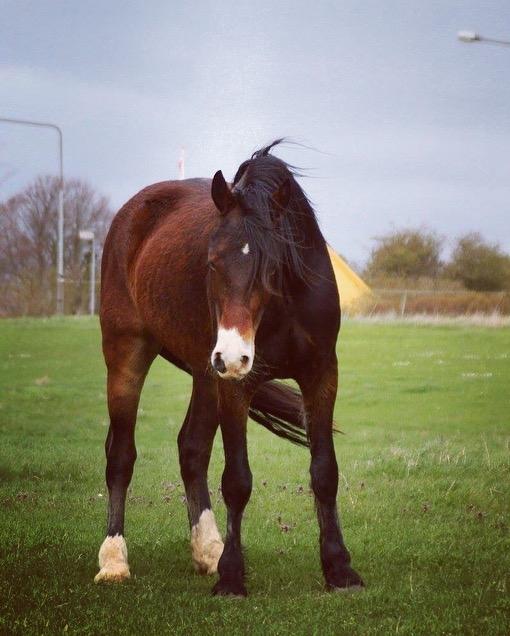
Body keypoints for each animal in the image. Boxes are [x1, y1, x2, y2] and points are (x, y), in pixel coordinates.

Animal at [92, 140, 362, 596]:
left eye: (271, 265)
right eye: (212, 262)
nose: (232, 356)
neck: (282, 307)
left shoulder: (321, 375)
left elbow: (324, 471)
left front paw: (339, 568)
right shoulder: (238, 386)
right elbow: (237, 480)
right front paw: (233, 577)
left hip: (206, 376)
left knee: (191, 449)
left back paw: (209, 551)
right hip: (129, 352)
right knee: (121, 455)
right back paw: (114, 559)